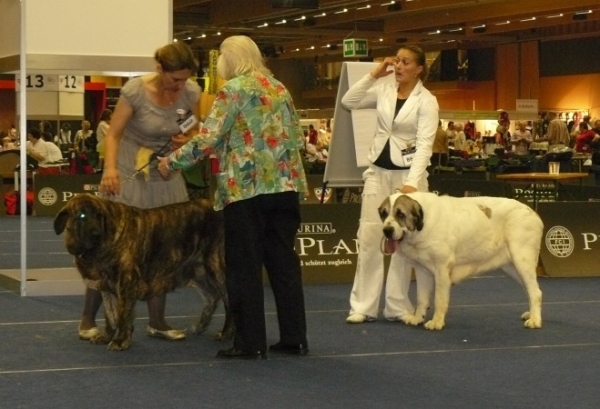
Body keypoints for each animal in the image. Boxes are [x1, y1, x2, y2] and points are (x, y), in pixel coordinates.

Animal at [54, 194, 232, 350]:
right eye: (82, 215)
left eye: (99, 216)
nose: (97, 233)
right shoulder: (105, 286)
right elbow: (110, 316)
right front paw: (107, 336)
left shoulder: (125, 284)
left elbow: (123, 315)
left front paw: (120, 341)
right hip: (196, 271)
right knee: (212, 297)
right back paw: (201, 325)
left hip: (215, 267)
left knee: (228, 302)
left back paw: (226, 333)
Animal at [380, 193, 544, 330]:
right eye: (383, 214)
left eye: (400, 214)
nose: (386, 230)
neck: (423, 223)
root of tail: (533, 213)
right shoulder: (422, 271)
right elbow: (421, 298)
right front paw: (417, 318)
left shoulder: (442, 269)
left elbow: (439, 299)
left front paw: (436, 322)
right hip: (512, 268)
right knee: (530, 289)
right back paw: (531, 314)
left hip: (522, 260)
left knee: (535, 291)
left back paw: (535, 320)